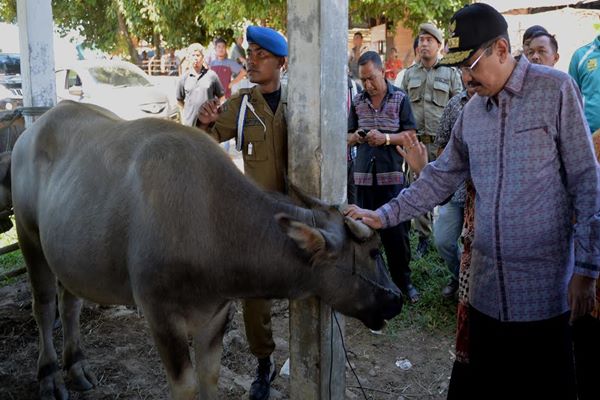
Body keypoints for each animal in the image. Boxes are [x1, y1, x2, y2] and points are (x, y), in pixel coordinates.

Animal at [1, 101, 404, 398]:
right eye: (373, 251)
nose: (397, 298)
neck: (211, 221)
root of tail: (32, 131)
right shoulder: (160, 316)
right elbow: (186, 387)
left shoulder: (216, 314)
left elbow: (209, 380)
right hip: (30, 237)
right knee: (44, 305)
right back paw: (50, 375)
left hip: (68, 253)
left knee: (70, 302)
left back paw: (77, 366)